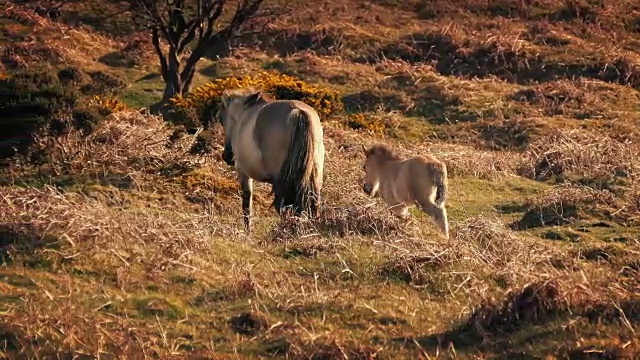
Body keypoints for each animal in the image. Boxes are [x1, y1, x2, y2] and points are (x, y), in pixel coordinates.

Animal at [219, 87, 324, 233]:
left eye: (221, 119)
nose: (227, 156)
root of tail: (297, 111)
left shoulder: (243, 172)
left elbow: (247, 203)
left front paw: (248, 231)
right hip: (314, 177)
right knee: (314, 203)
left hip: (281, 180)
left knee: (283, 206)